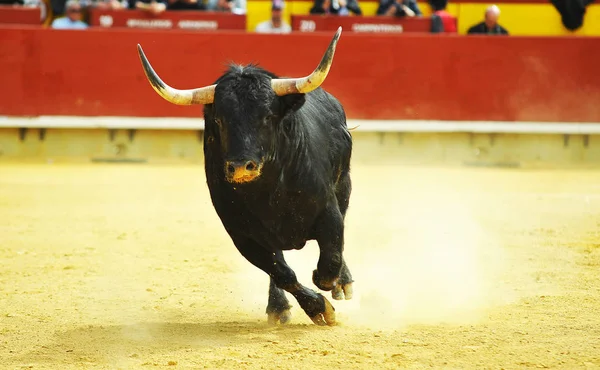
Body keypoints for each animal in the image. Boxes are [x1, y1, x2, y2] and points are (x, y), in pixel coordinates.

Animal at [137, 27, 352, 326]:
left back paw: (344, 282)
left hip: (344, 185)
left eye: (268, 116)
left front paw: (330, 287)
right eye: (219, 120)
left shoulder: (327, 211)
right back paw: (278, 307)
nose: (240, 167)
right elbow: (283, 274)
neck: (269, 190)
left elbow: (328, 263)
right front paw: (319, 309)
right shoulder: (243, 235)